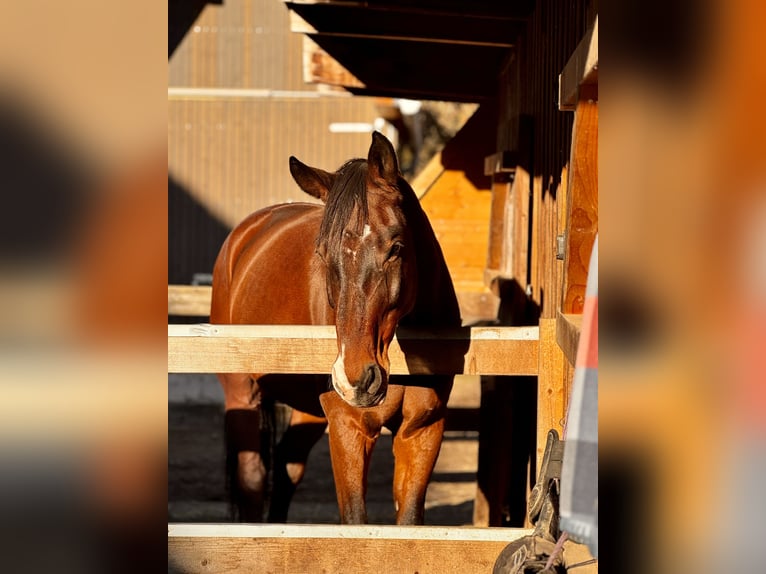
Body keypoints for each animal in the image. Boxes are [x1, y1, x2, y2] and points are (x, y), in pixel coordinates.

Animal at [210, 131, 462, 524]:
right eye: (324, 255)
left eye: (396, 247)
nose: (355, 378)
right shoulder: (349, 427)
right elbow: (354, 523)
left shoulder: (423, 429)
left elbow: (409, 523)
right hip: (242, 393)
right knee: (252, 479)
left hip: (308, 411)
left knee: (286, 469)